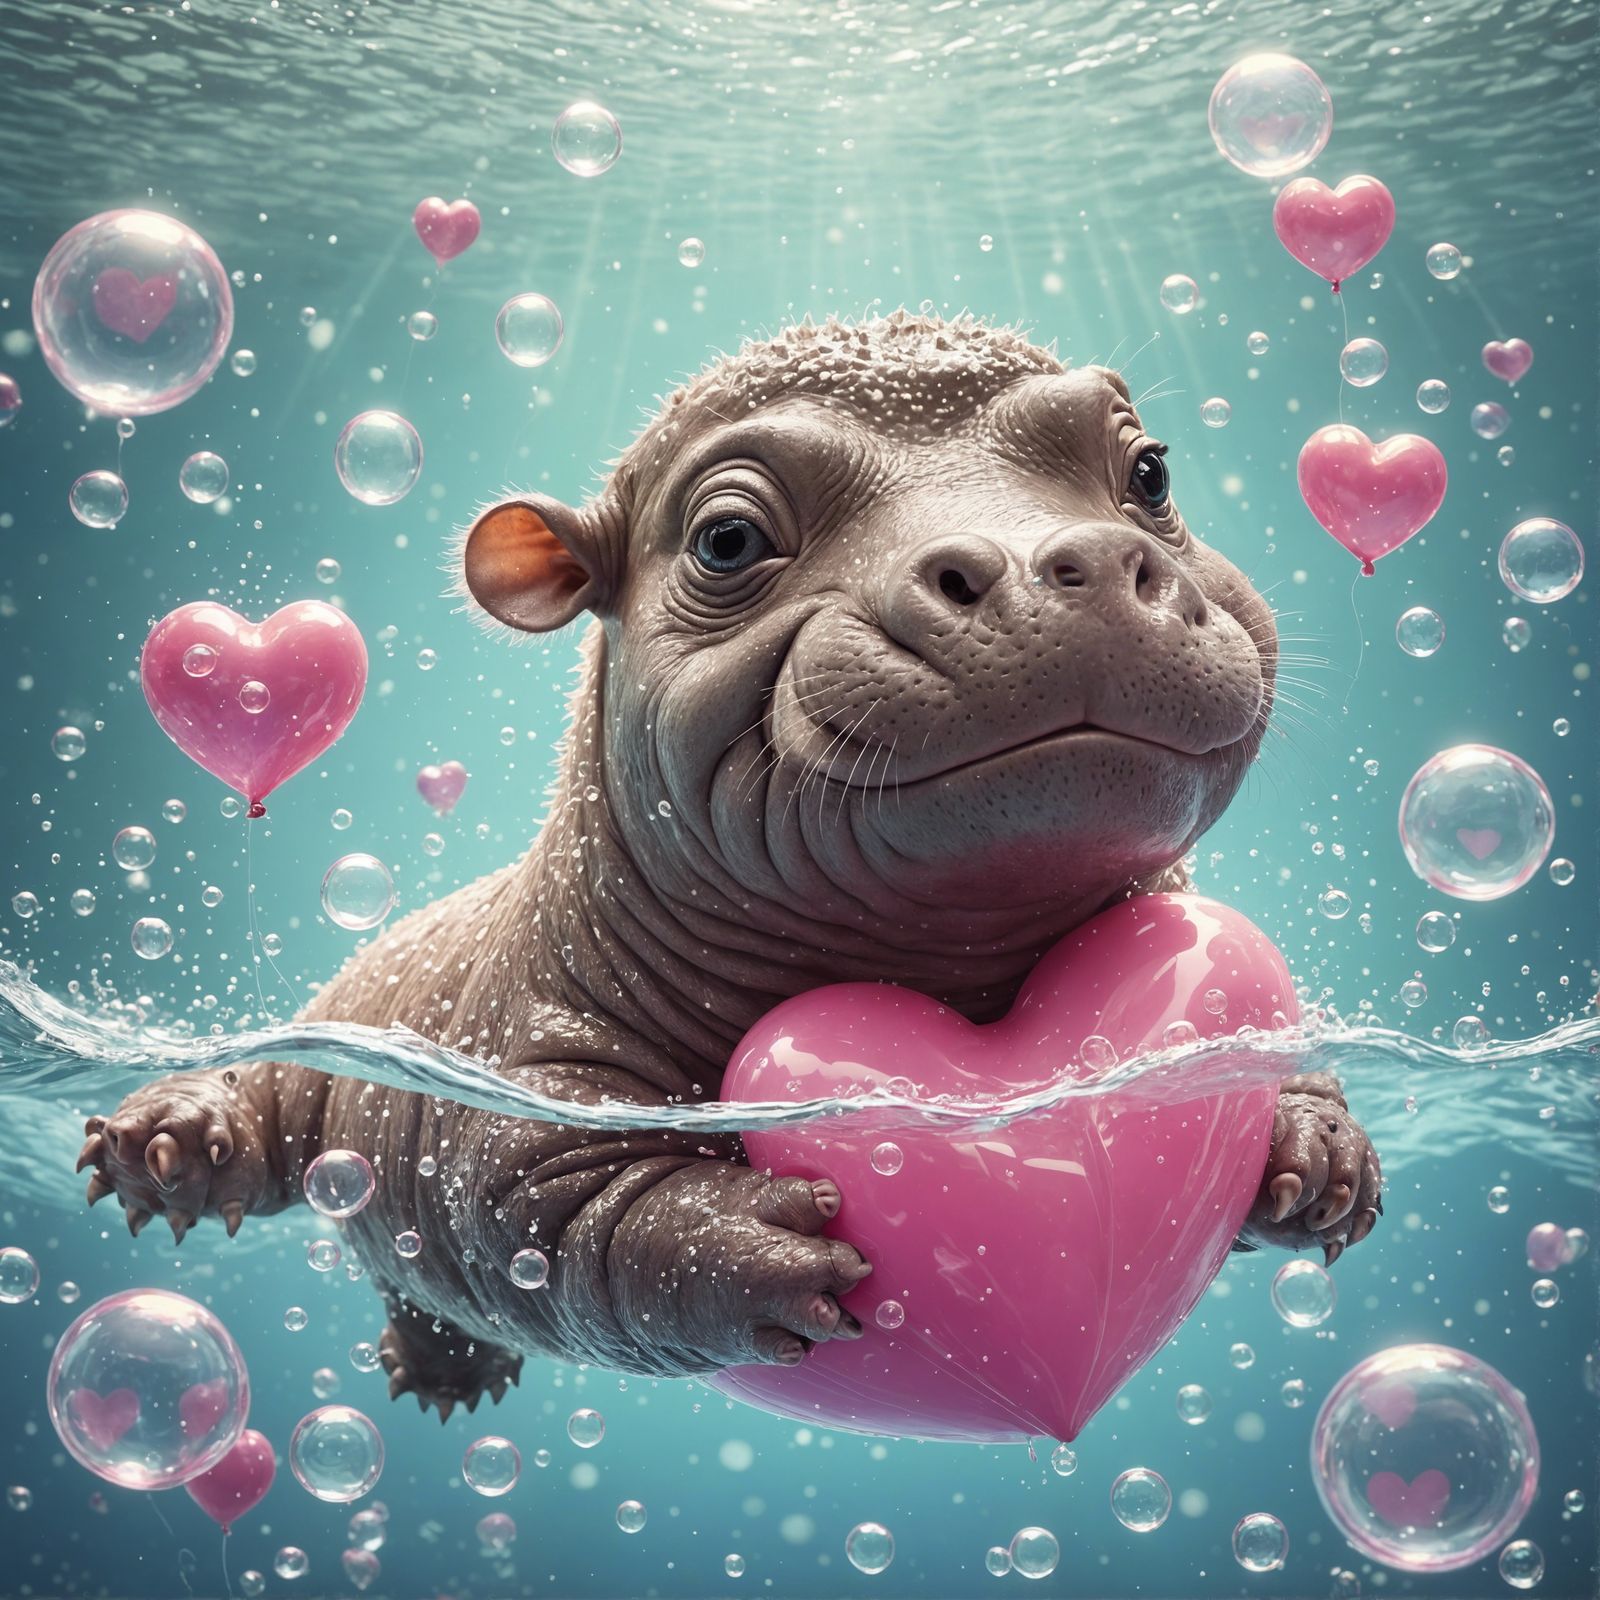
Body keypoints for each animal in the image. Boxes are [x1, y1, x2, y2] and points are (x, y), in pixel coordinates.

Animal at [80, 312, 1381, 1418]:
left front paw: (1316, 1158)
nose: (1073, 561)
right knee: (281, 1117)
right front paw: (767, 1245)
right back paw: (166, 1149)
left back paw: (445, 1374)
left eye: (1151, 473)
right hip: (329, 1050)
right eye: (727, 537)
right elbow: (565, 1212)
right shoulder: (504, 1087)